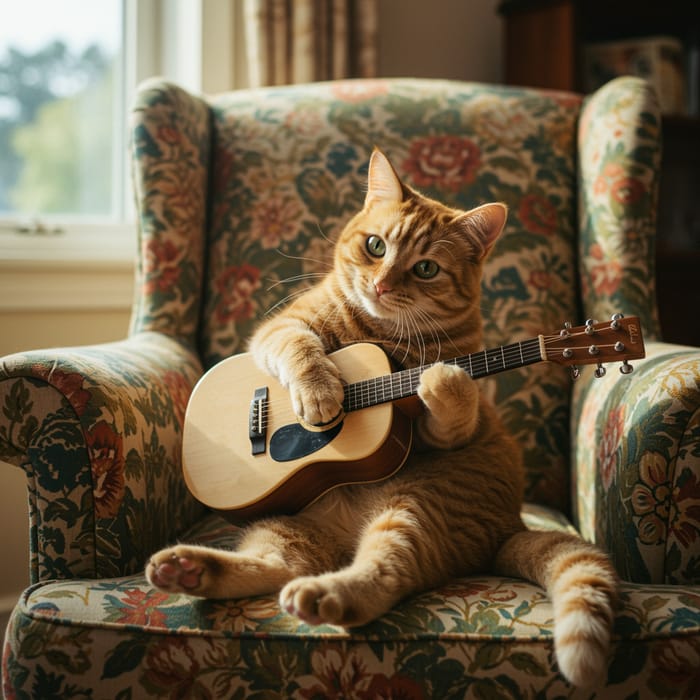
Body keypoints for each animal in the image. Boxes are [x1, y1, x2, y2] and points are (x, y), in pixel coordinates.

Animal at [145, 149, 616, 688]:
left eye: (426, 268)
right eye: (375, 246)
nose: (382, 283)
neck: (380, 335)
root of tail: (509, 525)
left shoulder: (438, 432)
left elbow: (453, 408)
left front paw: (440, 379)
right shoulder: (280, 328)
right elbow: (301, 348)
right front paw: (320, 395)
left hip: (414, 508)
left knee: (381, 575)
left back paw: (323, 595)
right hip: (285, 525)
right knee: (276, 565)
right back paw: (189, 569)